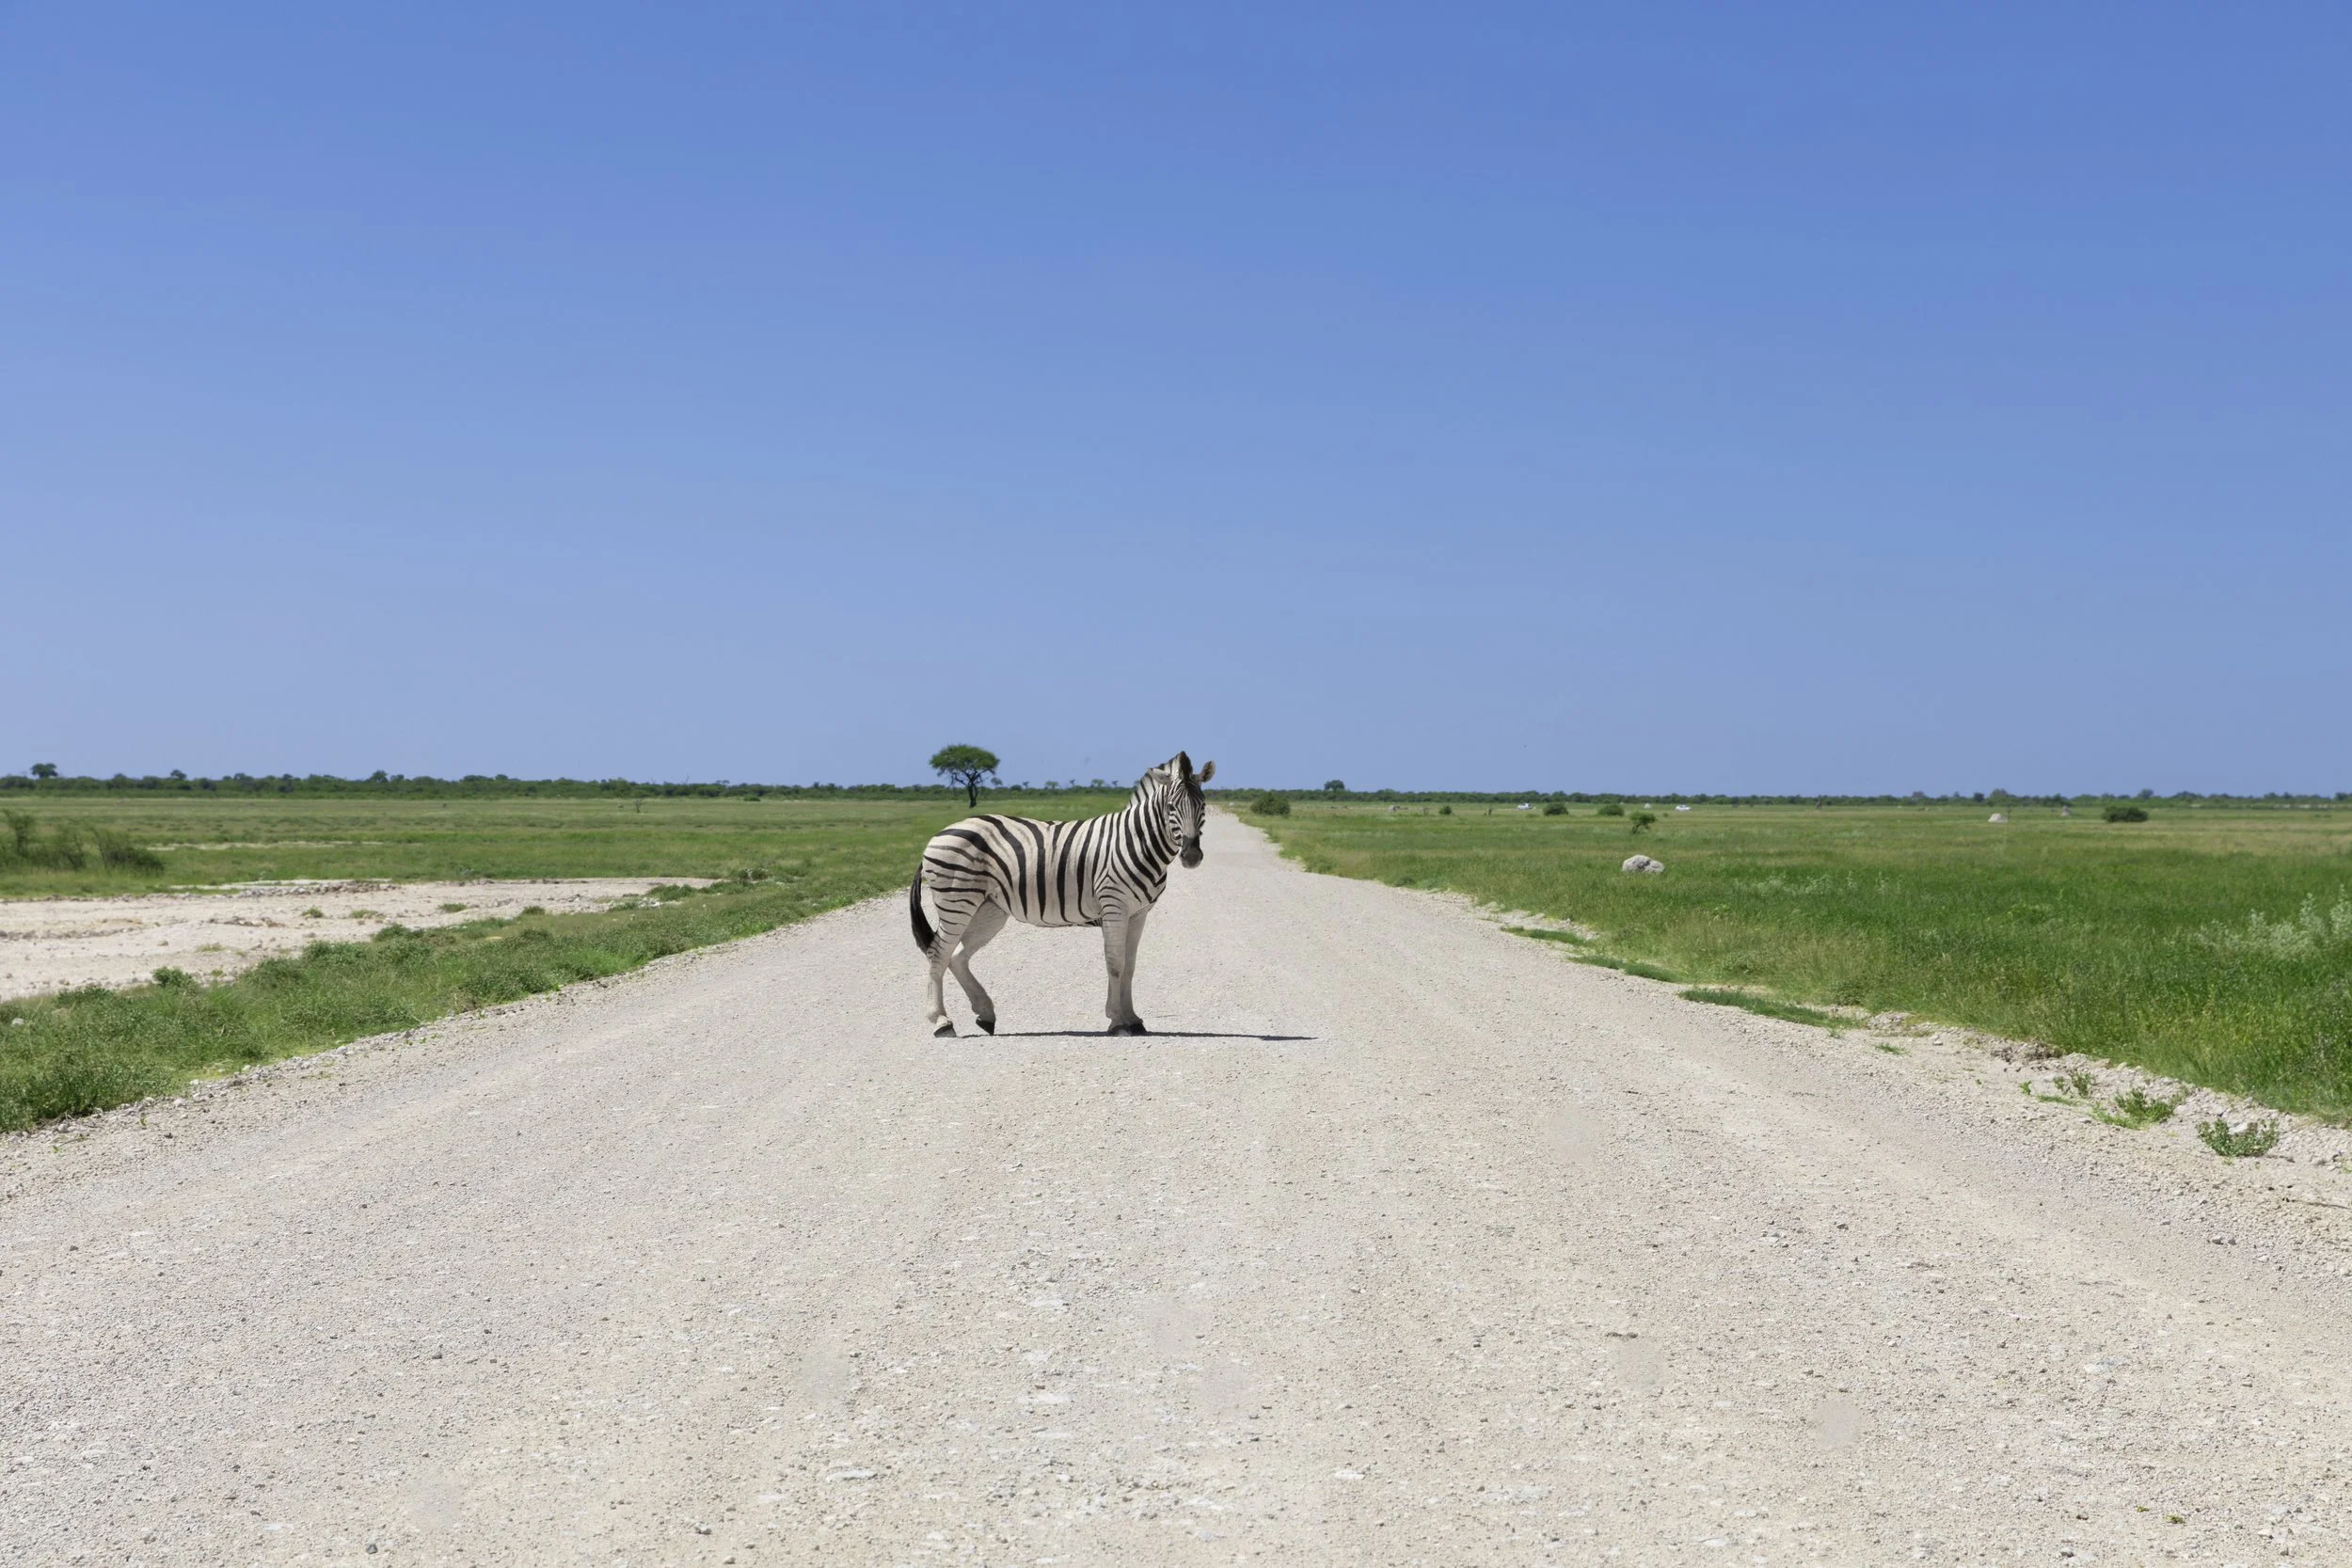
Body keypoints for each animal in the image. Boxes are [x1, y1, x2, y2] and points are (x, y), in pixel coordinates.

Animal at [909, 752, 1217, 1037]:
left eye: (1202, 805)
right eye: (1170, 807)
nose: (1191, 856)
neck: (1138, 843)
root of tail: (942, 831)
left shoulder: (1138, 913)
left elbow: (1130, 966)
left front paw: (1133, 1019)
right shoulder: (1114, 907)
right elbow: (1115, 964)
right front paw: (1117, 1020)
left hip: (989, 910)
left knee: (957, 956)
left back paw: (985, 1014)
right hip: (956, 900)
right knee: (938, 953)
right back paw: (941, 1022)